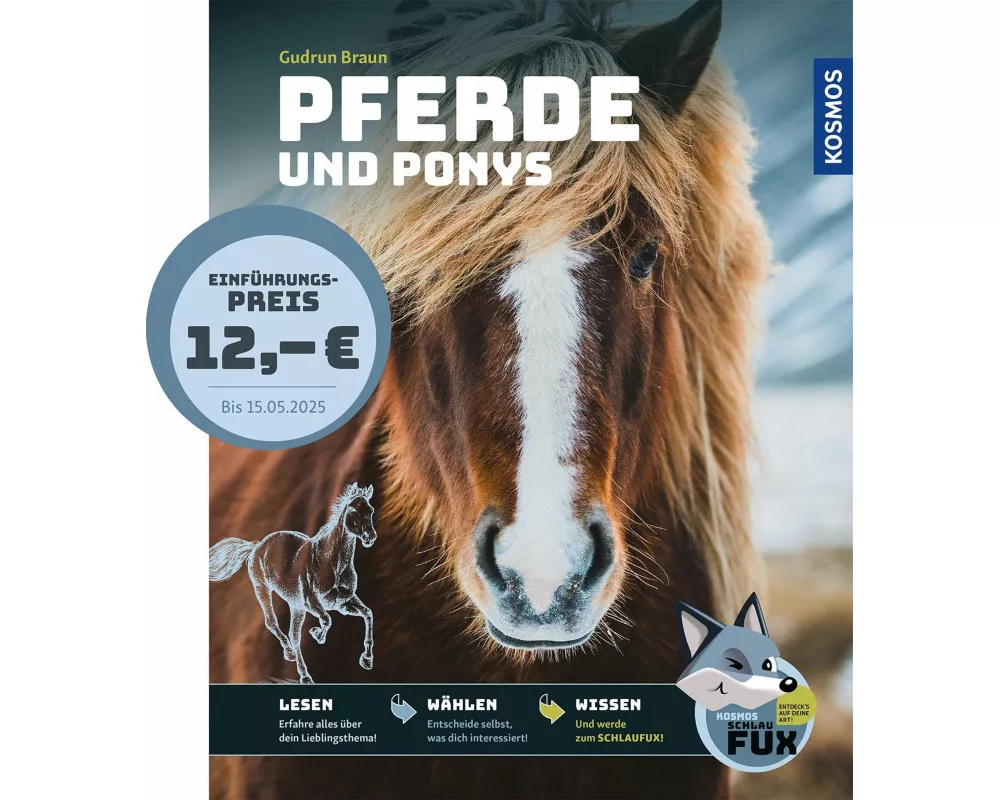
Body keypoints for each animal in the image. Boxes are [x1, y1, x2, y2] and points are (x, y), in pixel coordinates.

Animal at [208, 483, 376, 683]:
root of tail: (257, 546)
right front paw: (317, 634)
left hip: (295, 606)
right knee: (273, 623)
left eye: (371, 510)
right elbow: (327, 620)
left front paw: (367, 660)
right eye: (352, 510)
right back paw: (298, 665)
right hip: (263, 590)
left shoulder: (342, 603)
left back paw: (298, 664)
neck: (333, 564)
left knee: (293, 636)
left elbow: (368, 614)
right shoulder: (311, 603)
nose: (370, 537)